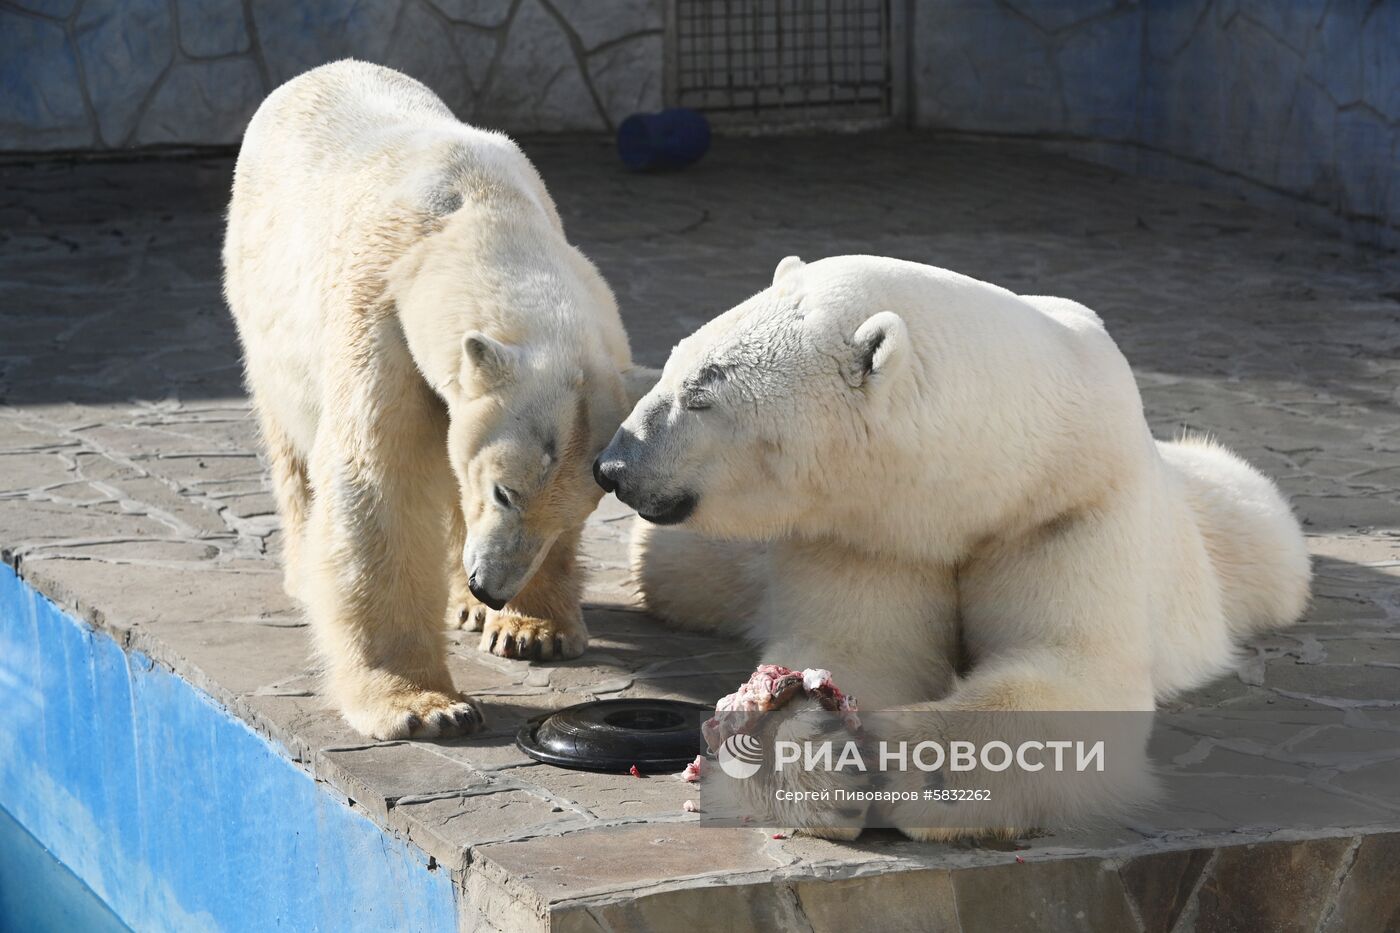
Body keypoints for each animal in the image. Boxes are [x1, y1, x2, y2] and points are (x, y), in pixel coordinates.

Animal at [226, 61, 646, 739]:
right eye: (505, 492)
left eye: (575, 517)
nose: (491, 588)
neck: (472, 215)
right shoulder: (378, 309)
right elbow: (380, 476)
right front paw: (423, 706)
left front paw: (533, 630)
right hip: (263, 297)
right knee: (293, 441)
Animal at [602, 252, 1310, 834]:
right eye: (671, 363)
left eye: (701, 394)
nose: (612, 466)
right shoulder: (866, 528)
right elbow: (855, 645)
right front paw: (808, 748)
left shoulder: (1072, 506)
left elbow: (1074, 669)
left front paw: (902, 761)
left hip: (1226, 533)